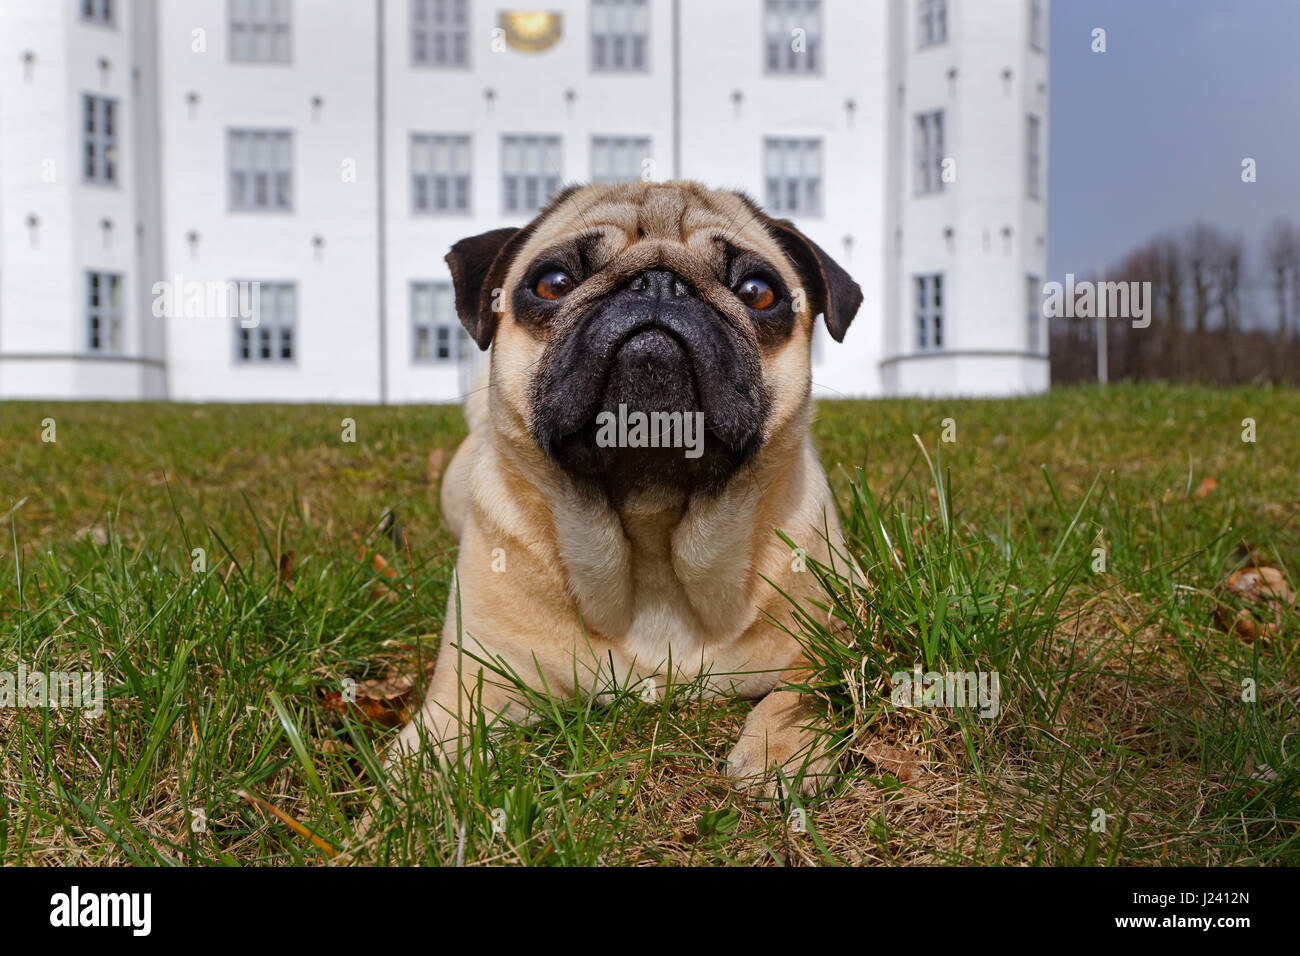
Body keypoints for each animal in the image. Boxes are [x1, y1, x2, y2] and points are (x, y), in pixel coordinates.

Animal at [392, 179, 863, 790]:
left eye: (758, 292)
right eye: (553, 283)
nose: (658, 283)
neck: (652, 528)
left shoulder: (848, 618)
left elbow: (819, 674)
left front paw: (780, 747)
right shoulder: (472, 682)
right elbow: (429, 751)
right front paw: (401, 803)